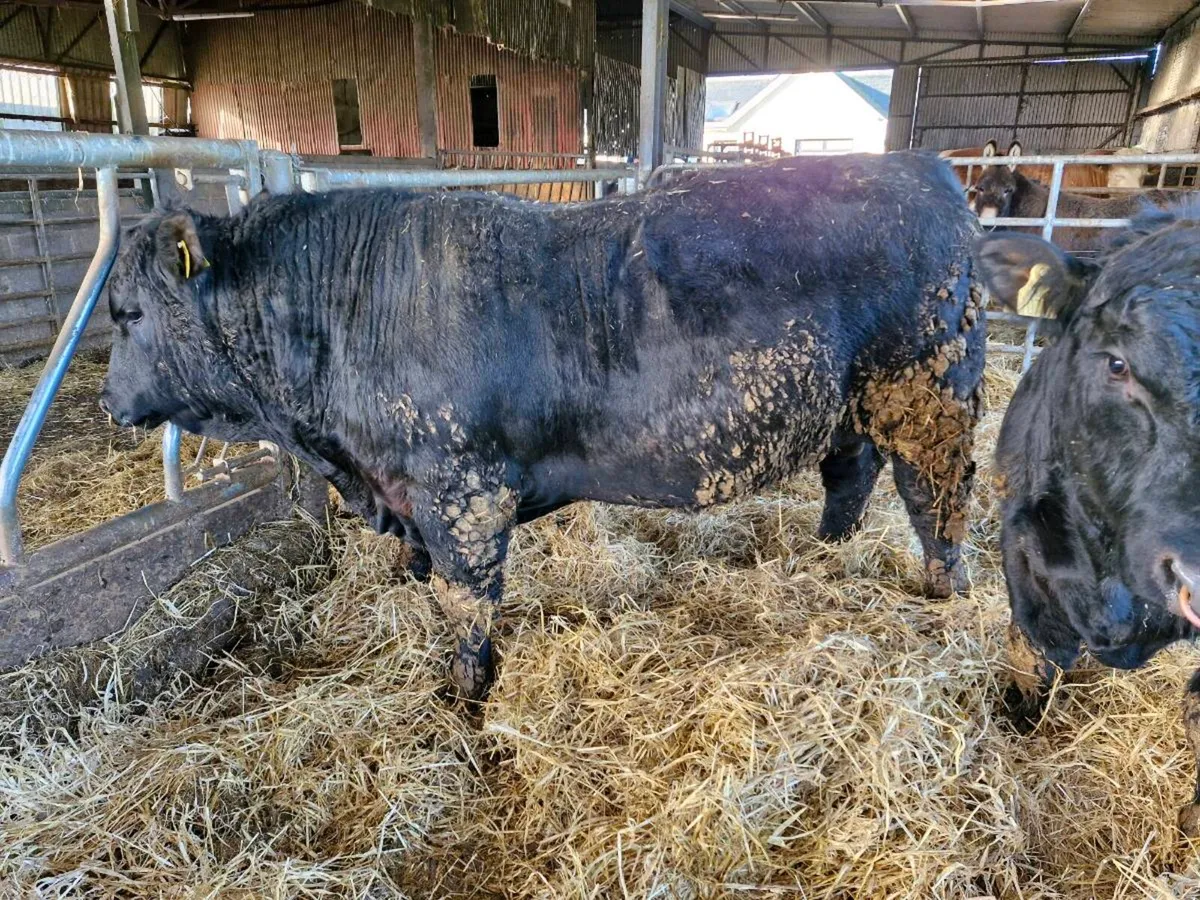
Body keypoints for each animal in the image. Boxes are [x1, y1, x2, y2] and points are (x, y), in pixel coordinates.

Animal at [98, 153, 986, 700]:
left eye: (130, 313)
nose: (108, 401)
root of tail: (926, 169)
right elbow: (422, 574)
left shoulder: (463, 492)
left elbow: (464, 602)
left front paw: (466, 697)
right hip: (854, 408)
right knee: (852, 474)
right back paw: (825, 554)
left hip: (929, 396)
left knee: (936, 502)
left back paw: (943, 598)